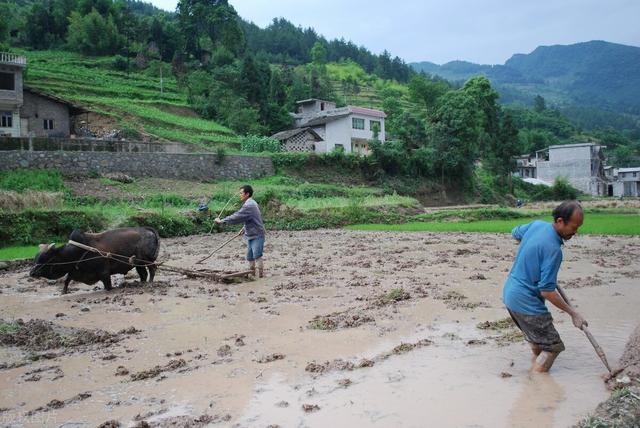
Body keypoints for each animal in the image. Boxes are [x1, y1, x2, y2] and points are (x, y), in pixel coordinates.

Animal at [29, 227, 160, 294]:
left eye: (45, 258)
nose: (31, 273)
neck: (77, 252)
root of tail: (148, 230)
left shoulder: (104, 273)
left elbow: (108, 286)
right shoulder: (74, 271)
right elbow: (66, 280)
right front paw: (63, 292)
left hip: (147, 260)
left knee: (152, 269)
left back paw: (150, 283)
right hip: (138, 263)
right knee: (143, 274)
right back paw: (142, 283)